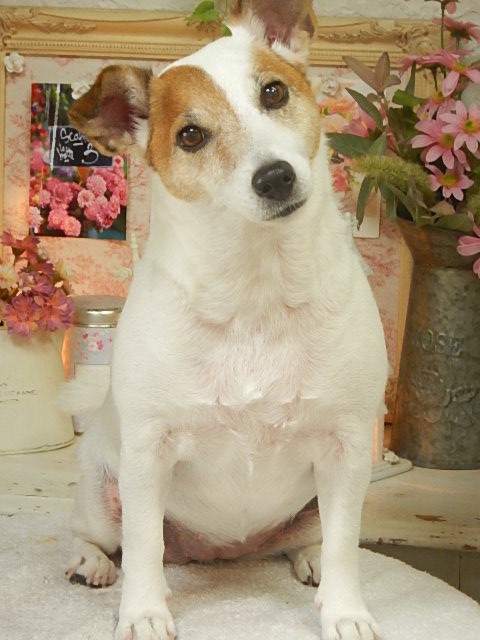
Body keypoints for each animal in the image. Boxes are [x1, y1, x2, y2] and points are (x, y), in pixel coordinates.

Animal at [65, 1, 387, 639]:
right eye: (190, 135)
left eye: (273, 92)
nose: (276, 176)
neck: (256, 289)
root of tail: (224, 553)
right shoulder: (148, 451)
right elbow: (144, 545)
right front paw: (144, 611)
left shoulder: (346, 446)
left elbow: (345, 543)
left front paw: (345, 611)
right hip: (99, 487)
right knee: (107, 538)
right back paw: (92, 563)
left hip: (314, 500)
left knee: (313, 537)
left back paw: (308, 557)